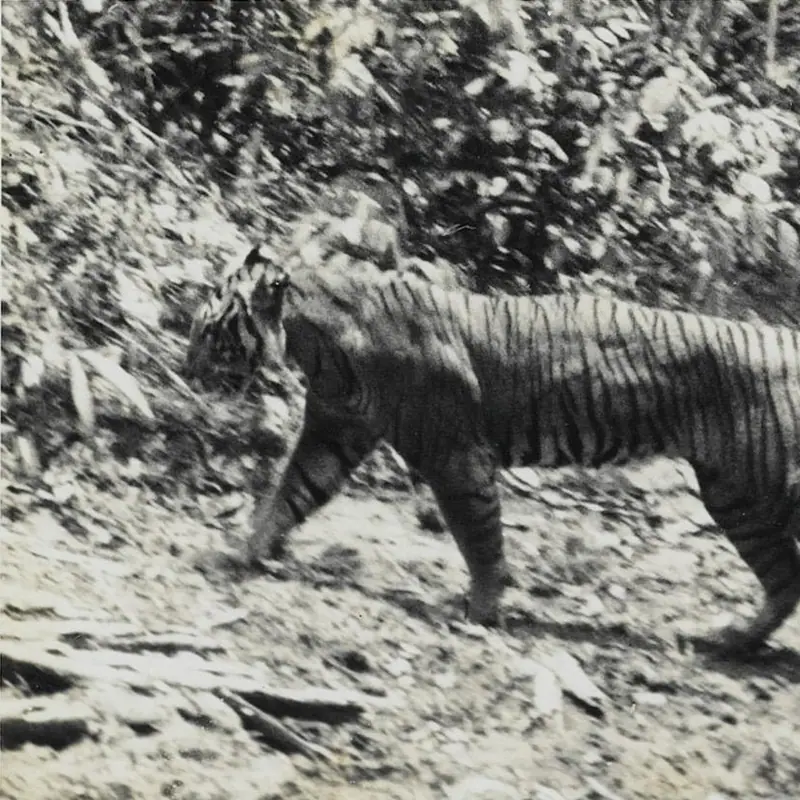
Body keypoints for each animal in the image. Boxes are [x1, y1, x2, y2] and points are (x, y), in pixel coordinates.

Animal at [186, 244, 800, 654]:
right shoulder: (333, 433)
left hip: (759, 487)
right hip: (734, 496)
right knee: (783, 576)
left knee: (785, 571)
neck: (317, 344)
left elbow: (478, 536)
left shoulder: (453, 456)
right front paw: (241, 552)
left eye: (210, 318)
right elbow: (289, 494)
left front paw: (480, 610)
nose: (186, 364)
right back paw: (733, 639)